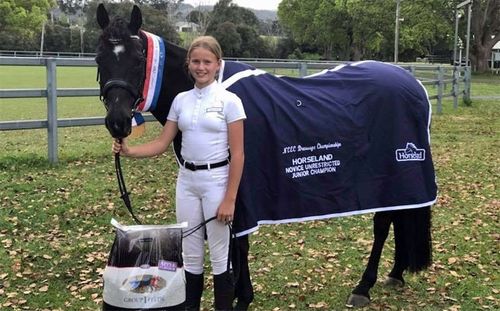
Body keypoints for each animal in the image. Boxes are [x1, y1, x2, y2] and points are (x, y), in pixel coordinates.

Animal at [95, 3, 436, 310]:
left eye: (139, 59)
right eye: (99, 59)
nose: (118, 122)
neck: (209, 89)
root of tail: (412, 83)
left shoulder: (238, 193)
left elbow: (239, 243)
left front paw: (241, 297)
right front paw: (237, 293)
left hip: (390, 176)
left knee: (383, 224)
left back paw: (363, 287)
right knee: (399, 216)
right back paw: (395, 274)